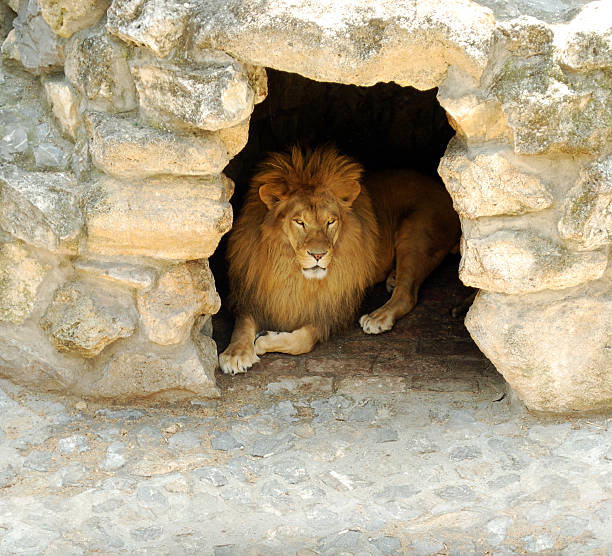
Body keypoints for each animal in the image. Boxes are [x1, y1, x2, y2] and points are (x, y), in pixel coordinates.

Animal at [218, 146, 462, 376]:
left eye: (330, 221)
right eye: (299, 222)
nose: (318, 255)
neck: (293, 272)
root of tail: (444, 190)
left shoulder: (328, 311)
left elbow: (303, 341)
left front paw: (264, 340)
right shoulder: (255, 294)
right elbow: (242, 324)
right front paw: (235, 353)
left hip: (415, 232)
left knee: (407, 294)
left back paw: (378, 316)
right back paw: (392, 278)